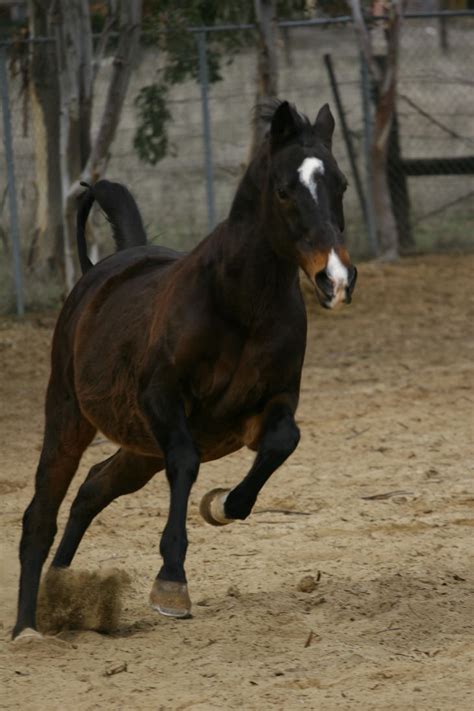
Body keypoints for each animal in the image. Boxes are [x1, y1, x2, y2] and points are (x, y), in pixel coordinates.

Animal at [12, 100, 356, 640]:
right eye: (284, 190)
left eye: (339, 184)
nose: (335, 279)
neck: (239, 305)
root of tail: (101, 272)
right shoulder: (164, 401)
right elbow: (187, 463)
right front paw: (171, 583)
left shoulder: (272, 403)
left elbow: (283, 442)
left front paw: (219, 505)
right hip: (68, 414)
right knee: (41, 514)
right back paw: (26, 628)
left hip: (139, 447)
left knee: (92, 489)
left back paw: (63, 590)